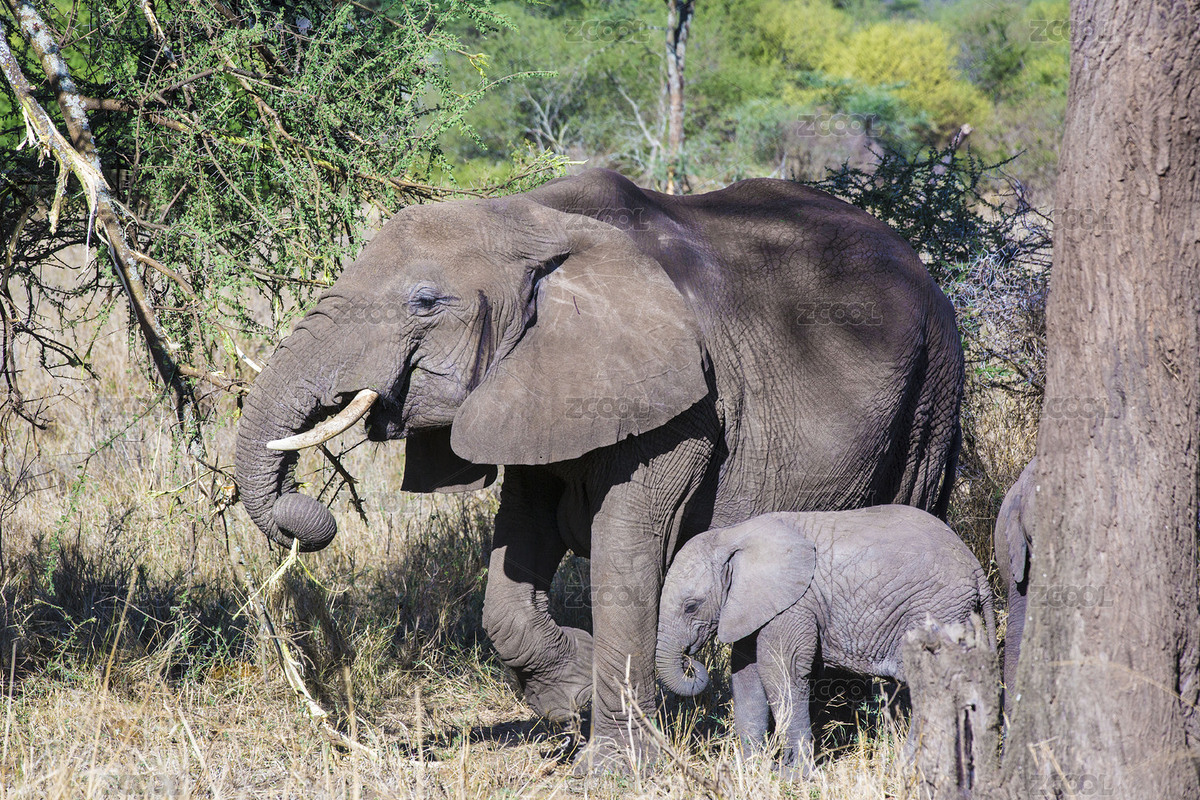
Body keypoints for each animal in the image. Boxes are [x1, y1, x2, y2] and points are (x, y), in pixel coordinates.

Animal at [233, 168, 964, 769]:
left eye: (424, 301)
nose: (311, 520)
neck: (533, 221)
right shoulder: (534, 386)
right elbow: (517, 551)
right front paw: (572, 694)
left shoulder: (678, 403)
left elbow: (626, 552)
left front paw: (612, 767)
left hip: (932, 390)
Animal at [656, 507, 996, 776]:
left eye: (691, 606)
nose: (690, 659)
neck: (732, 537)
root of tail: (974, 566)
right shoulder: (753, 605)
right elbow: (747, 678)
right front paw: (752, 769)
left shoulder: (795, 604)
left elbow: (781, 671)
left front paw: (794, 775)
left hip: (935, 613)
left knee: (931, 685)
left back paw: (908, 769)